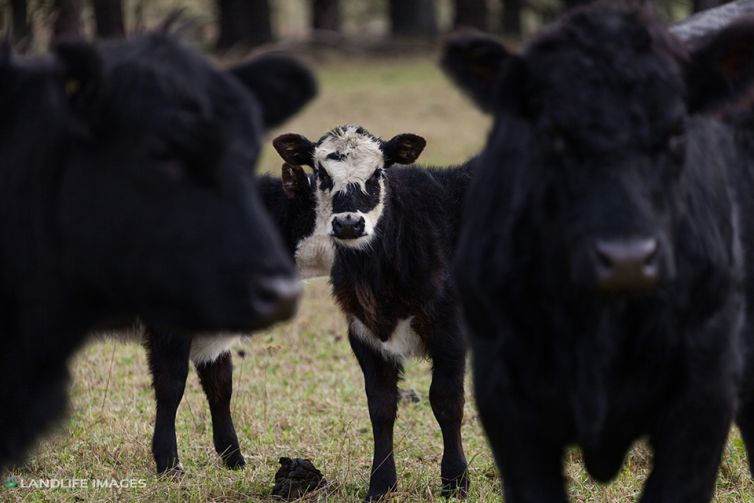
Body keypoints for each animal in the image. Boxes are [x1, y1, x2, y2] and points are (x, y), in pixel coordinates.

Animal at [274, 126, 472, 500]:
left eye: (378, 172)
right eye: (322, 175)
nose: (349, 223)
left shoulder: (450, 332)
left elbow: (446, 401)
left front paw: (456, 481)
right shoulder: (363, 334)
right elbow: (380, 407)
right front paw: (380, 484)